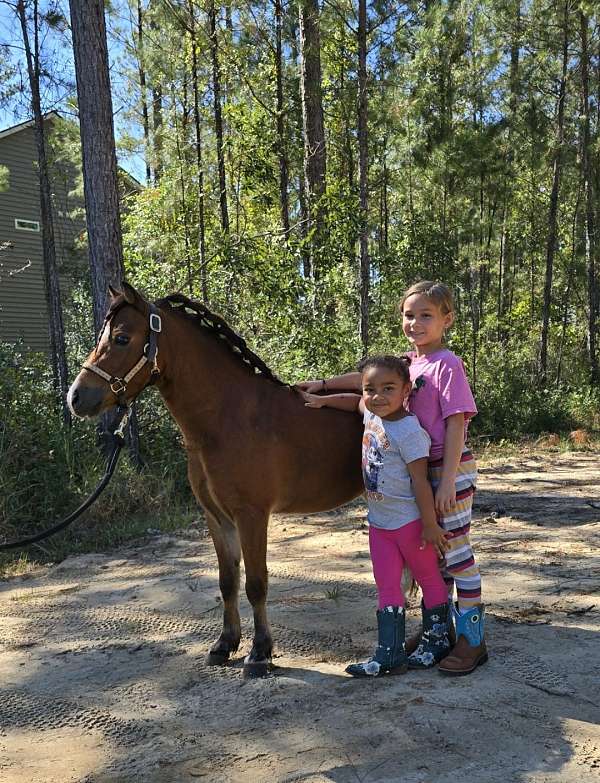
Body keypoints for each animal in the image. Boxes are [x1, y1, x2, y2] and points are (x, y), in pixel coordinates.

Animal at [68, 284, 364, 676]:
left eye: (121, 338)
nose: (76, 397)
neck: (227, 419)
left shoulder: (252, 515)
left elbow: (256, 583)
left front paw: (260, 653)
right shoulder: (217, 517)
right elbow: (228, 582)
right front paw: (225, 644)